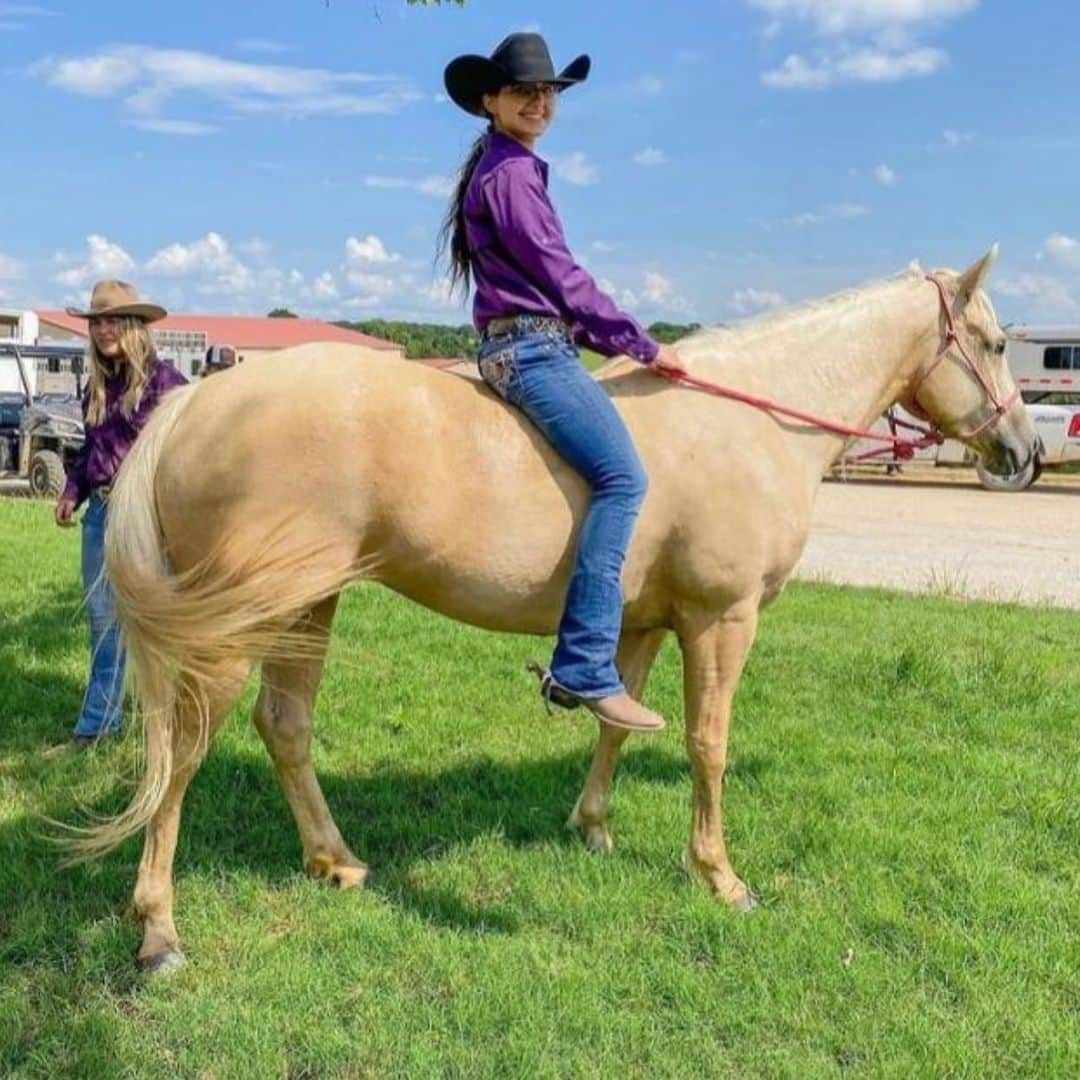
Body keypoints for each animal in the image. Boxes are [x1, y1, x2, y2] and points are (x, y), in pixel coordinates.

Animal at [88, 247, 1032, 972]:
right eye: (992, 342)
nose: (1022, 451)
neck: (750, 421)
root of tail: (196, 402)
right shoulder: (720, 620)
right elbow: (708, 744)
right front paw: (719, 875)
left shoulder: (640, 622)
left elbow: (618, 723)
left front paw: (594, 827)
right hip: (235, 627)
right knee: (180, 750)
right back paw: (159, 928)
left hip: (308, 606)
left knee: (284, 726)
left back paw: (335, 861)